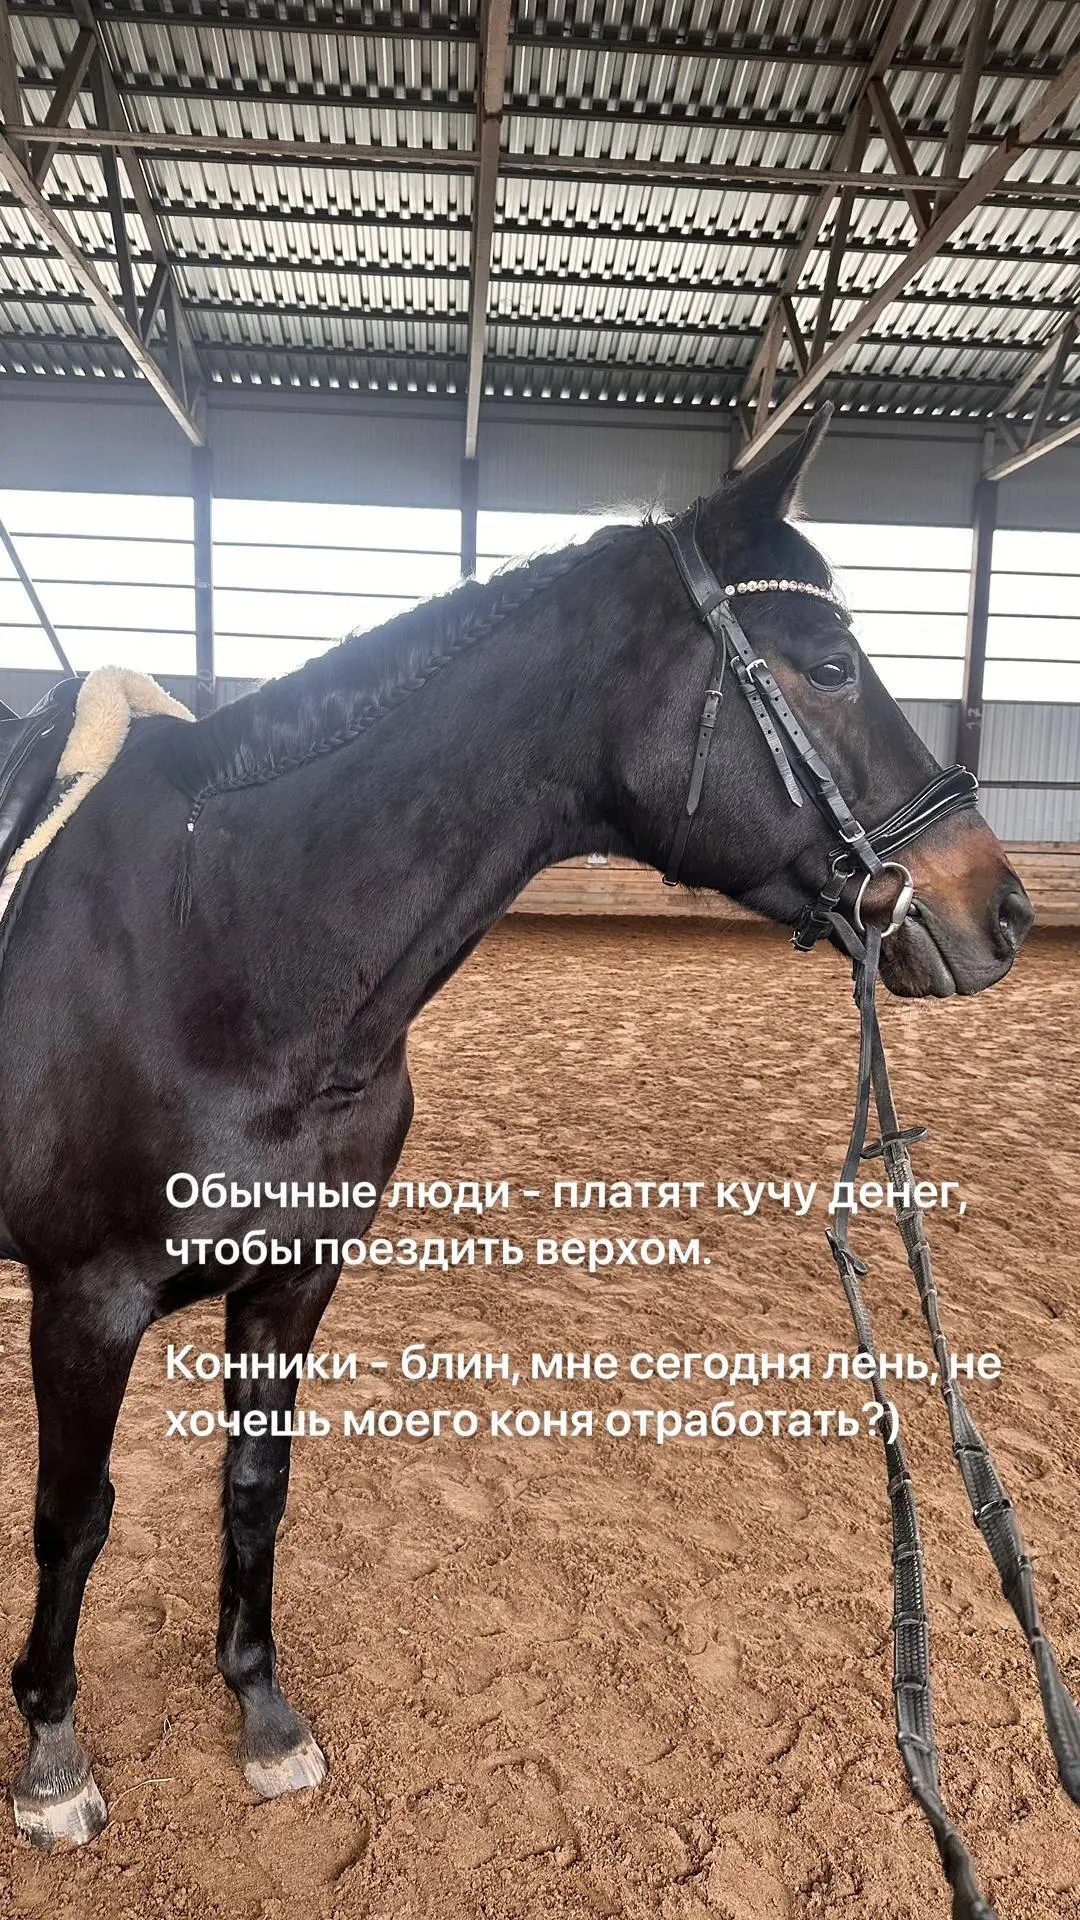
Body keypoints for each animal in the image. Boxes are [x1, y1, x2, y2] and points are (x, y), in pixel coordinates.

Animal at [0, 409, 1033, 1879]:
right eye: (830, 663)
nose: (996, 911)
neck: (216, 939)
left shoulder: (292, 1280)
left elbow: (256, 1486)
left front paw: (261, 1712)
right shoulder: (83, 1302)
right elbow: (72, 1516)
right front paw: (52, 1753)